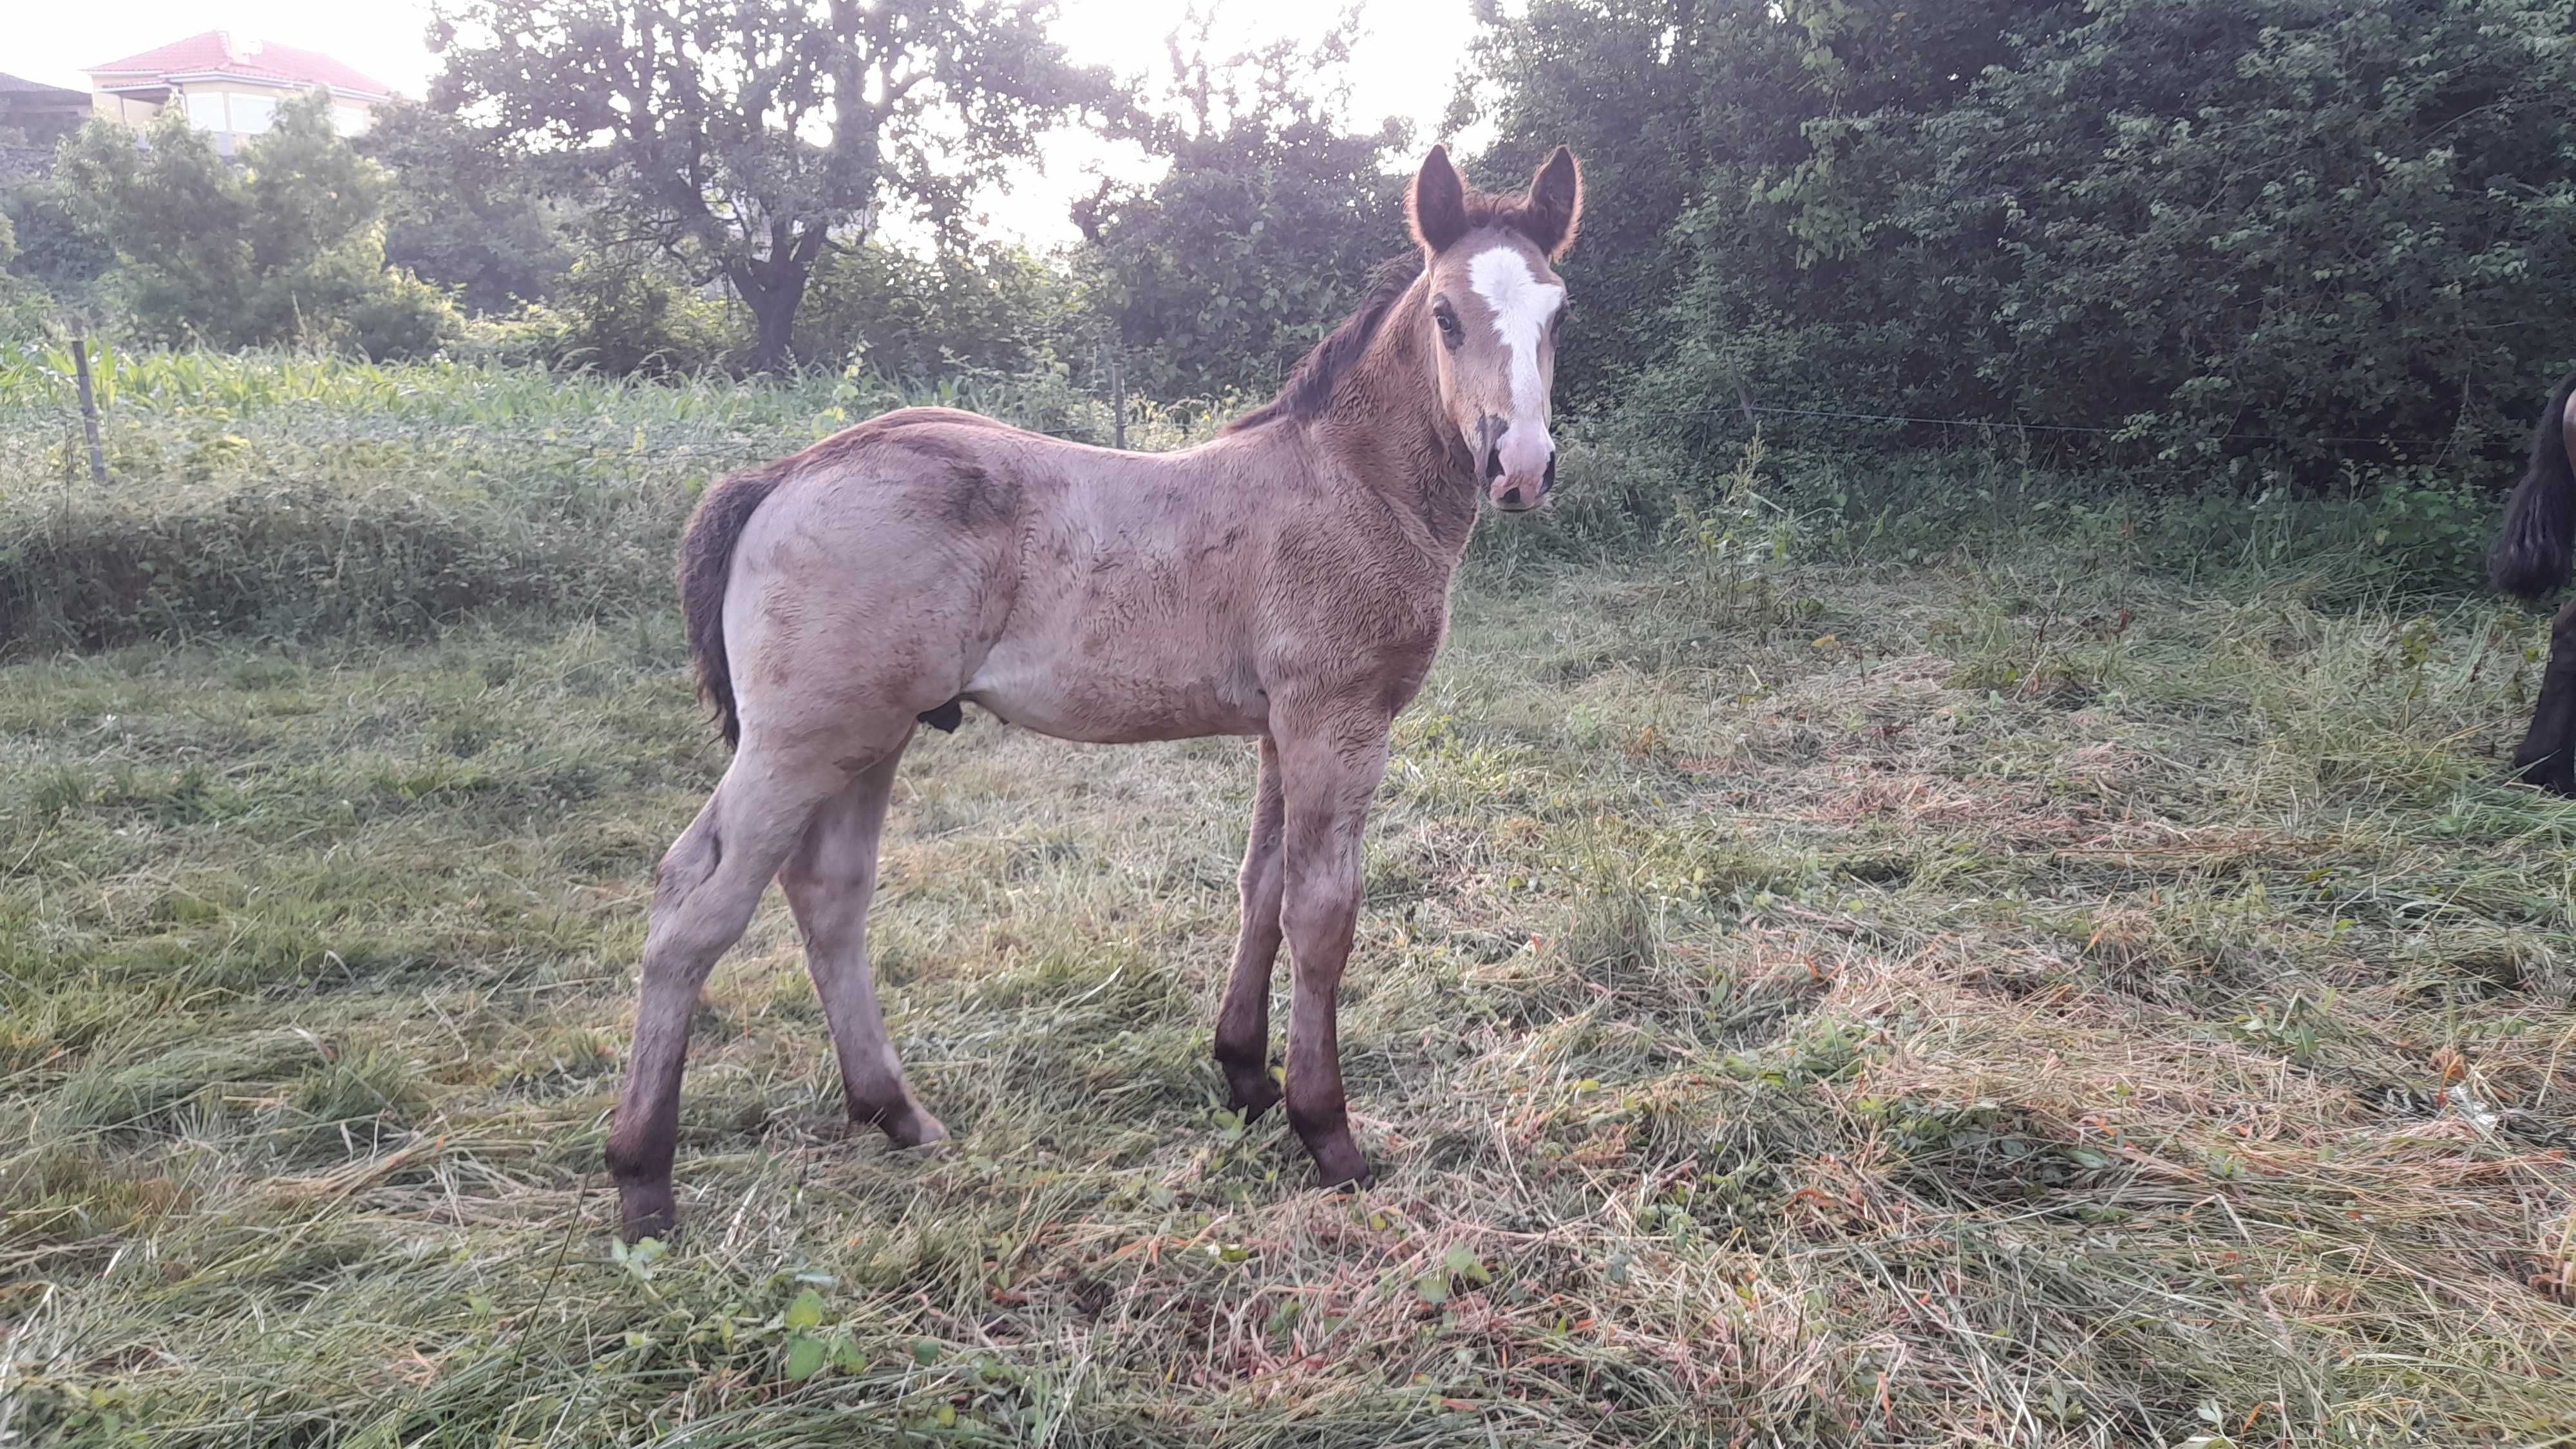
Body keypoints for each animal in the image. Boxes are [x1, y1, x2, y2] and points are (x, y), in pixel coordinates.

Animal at [613, 141, 1577, 1237]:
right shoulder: (1338, 721)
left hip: (872, 736)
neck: (1350, 486)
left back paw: (896, 1111)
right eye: (1447, 316)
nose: (1520, 466)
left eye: (1558, 314)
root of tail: (786, 472)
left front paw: (1245, 1076)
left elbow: (1262, 887)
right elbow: (1324, 913)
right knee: (695, 902)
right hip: (798, 742)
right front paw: (1326, 1130)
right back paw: (643, 1176)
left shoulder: (1281, 729)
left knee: (829, 893)